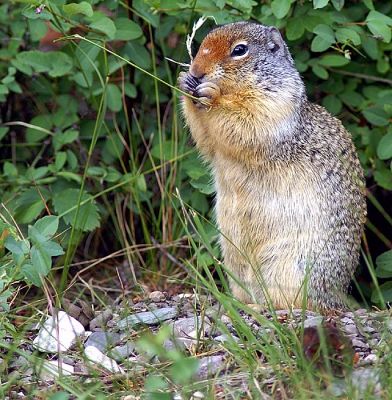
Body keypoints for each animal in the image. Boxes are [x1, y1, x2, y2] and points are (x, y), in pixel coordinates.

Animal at [178, 21, 368, 310]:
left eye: (239, 50)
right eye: (204, 42)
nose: (197, 71)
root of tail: (336, 300)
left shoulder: (274, 103)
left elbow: (246, 121)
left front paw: (212, 94)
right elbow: (206, 140)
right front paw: (184, 82)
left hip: (292, 267)